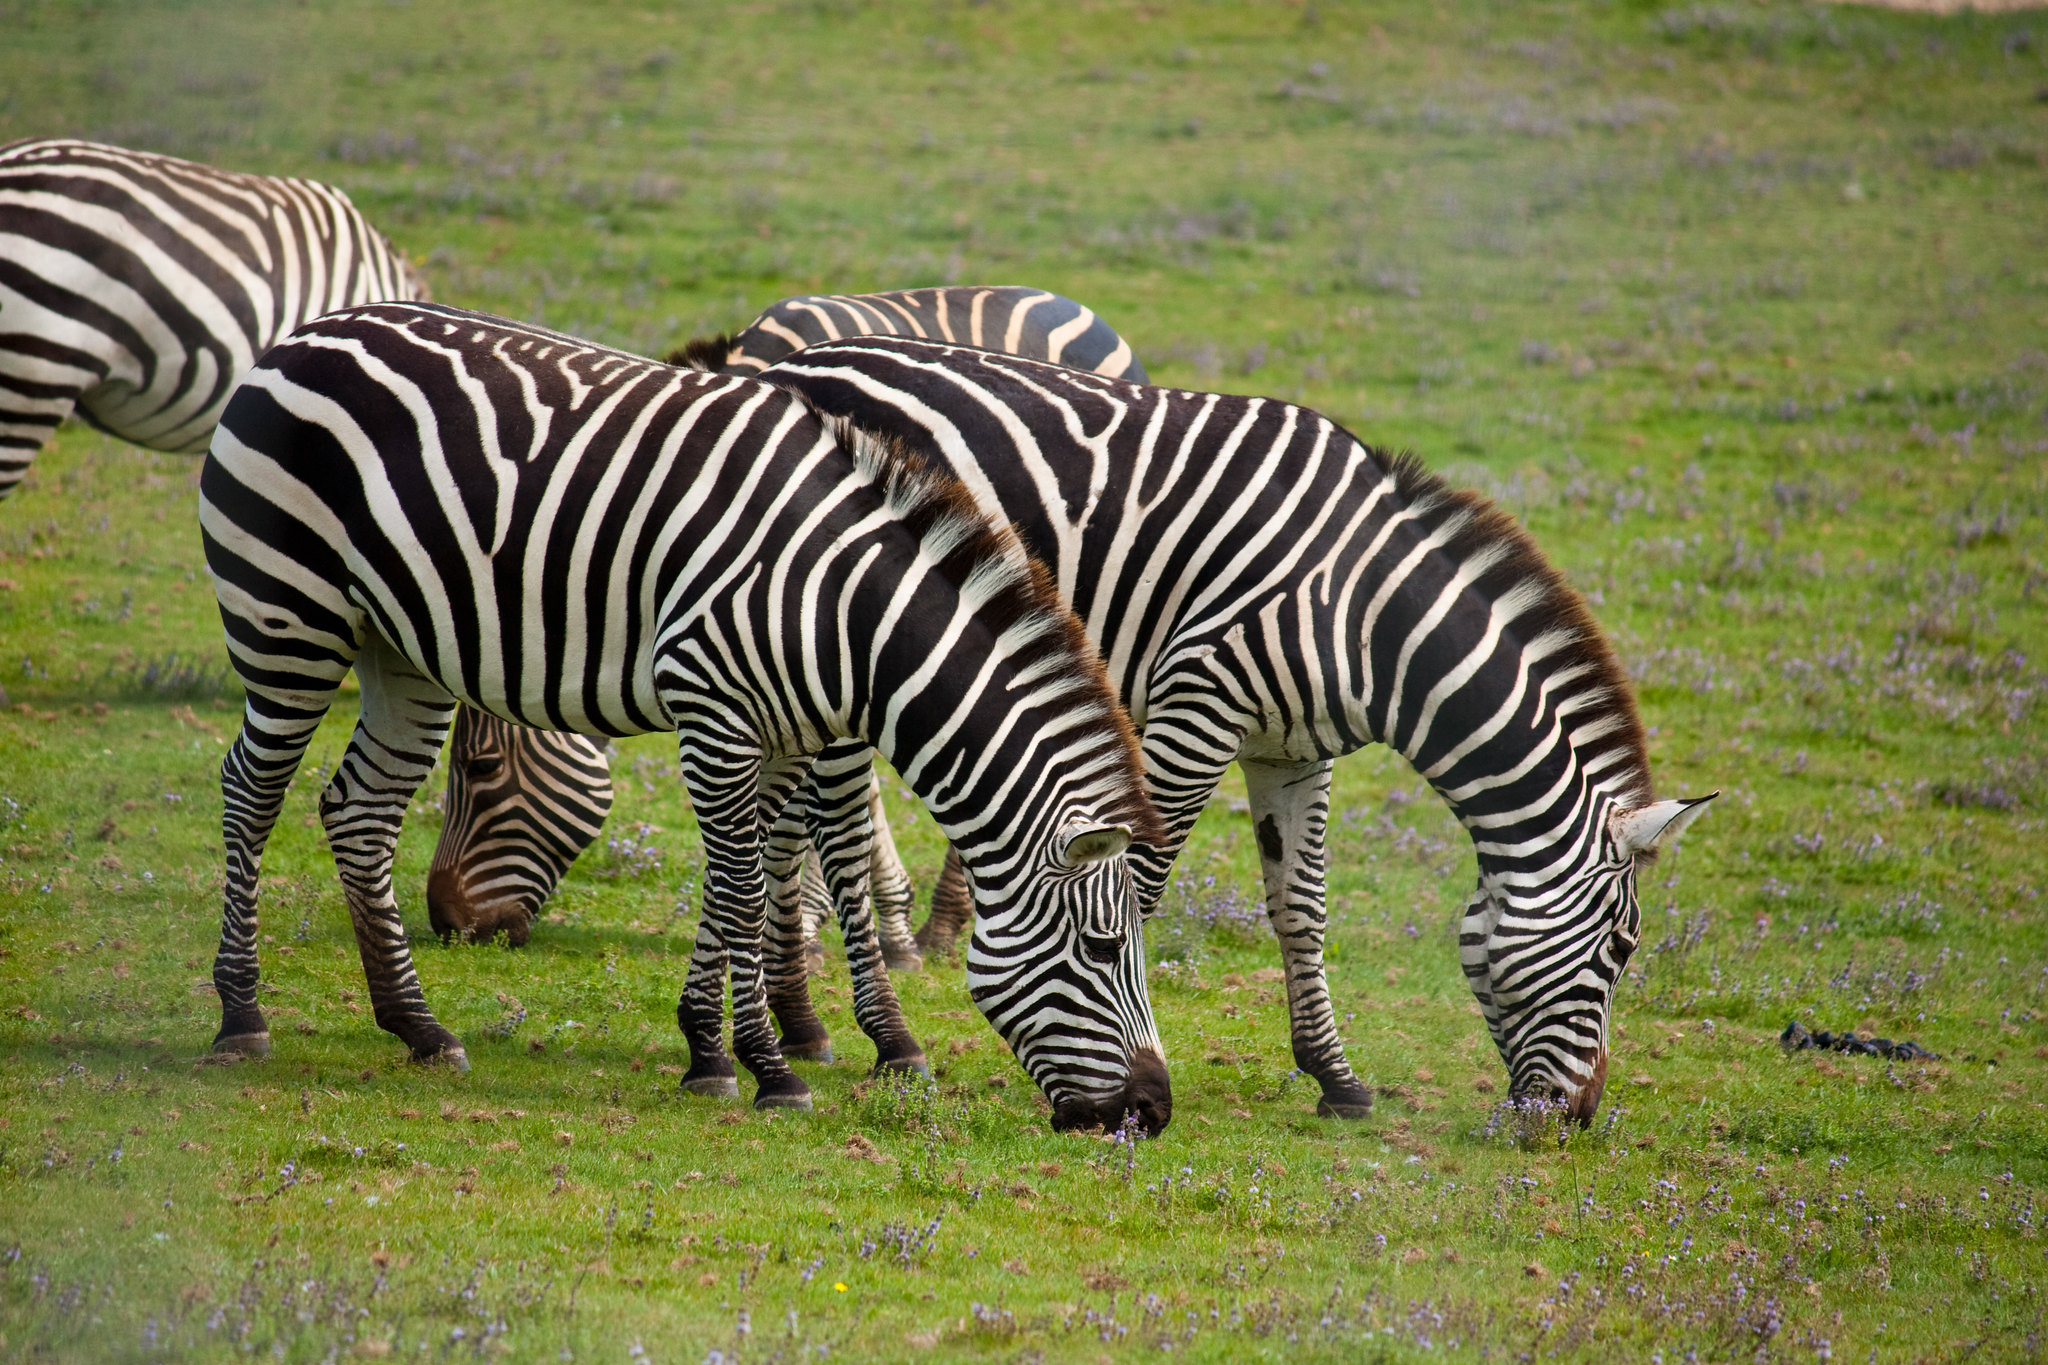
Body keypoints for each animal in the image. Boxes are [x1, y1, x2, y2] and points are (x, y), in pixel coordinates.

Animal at [739, 336, 1715, 1122]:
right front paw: (1129, 1068)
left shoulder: (1296, 752)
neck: (1366, 614)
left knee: (781, 820)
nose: (1579, 1116)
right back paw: (885, 1039)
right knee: (829, 825)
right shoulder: (1195, 707)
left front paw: (1335, 1077)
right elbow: (1141, 886)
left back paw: (798, 1021)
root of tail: (790, 360)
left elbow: (1301, 908)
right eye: (1622, 949)